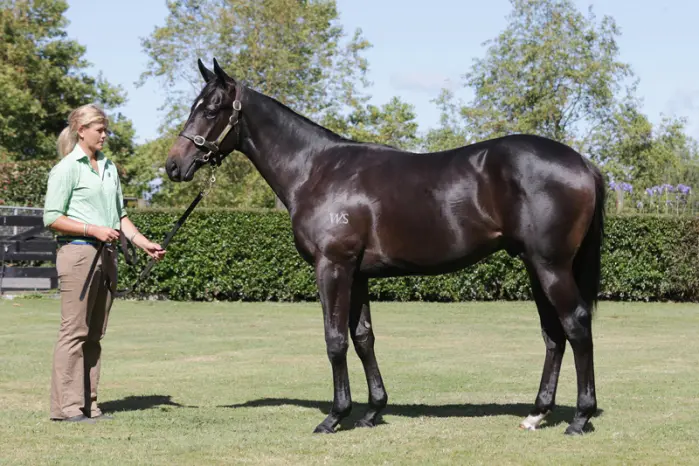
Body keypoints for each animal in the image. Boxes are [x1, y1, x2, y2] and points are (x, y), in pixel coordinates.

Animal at [165, 58, 605, 436]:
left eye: (212, 109)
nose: (173, 165)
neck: (316, 170)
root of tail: (582, 162)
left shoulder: (333, 266)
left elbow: (335, 339)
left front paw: (335, 416)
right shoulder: (357, 273)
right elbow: (363, 339)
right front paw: (373, 411)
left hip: (550, 266)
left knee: (576, 324)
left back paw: (580, 418)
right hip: (534, 265)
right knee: (553, 334)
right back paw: (537, 413)